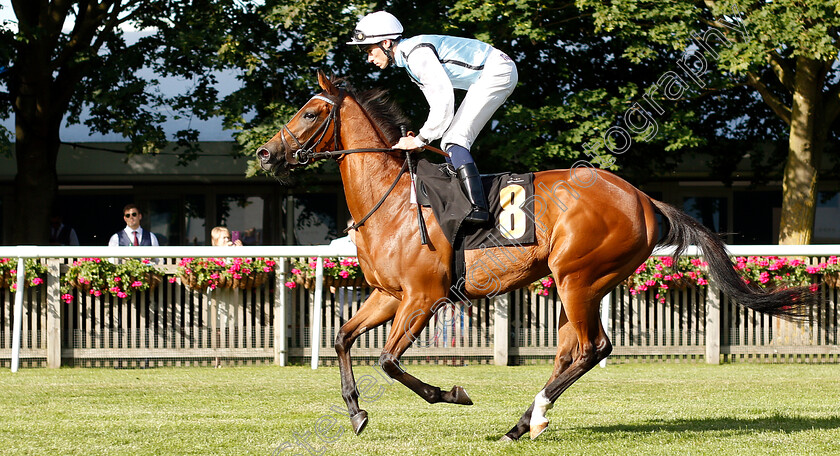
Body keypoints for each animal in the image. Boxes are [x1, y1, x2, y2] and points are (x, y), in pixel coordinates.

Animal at [256, 71, 812, 442]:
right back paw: (525, 422)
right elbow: (342, 337)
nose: (265, 154)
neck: (391, 201)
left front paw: (452, 394)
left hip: (578, 277)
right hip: (585, 283)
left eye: (311, 112)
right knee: (574, 350)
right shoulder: (389, 295)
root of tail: (644, 199)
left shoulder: (422, 297)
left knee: (593, 347)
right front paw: (355, 413)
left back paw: (528, 419)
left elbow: (390, 362)